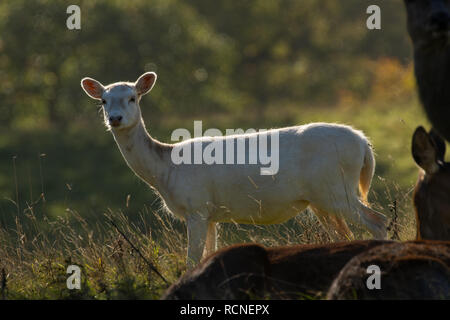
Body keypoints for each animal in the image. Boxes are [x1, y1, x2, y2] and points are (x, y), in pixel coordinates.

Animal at [81, 72, 386, 268]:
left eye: (132, 97)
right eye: (103, 101)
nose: (115, 118)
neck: (166, 170)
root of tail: (364, 144)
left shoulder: (196, 206)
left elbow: (191, 260)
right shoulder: (210, 214)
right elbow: (209, 253)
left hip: (336, 188)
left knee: (377, 220)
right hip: (322, 199)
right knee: (345, 235)